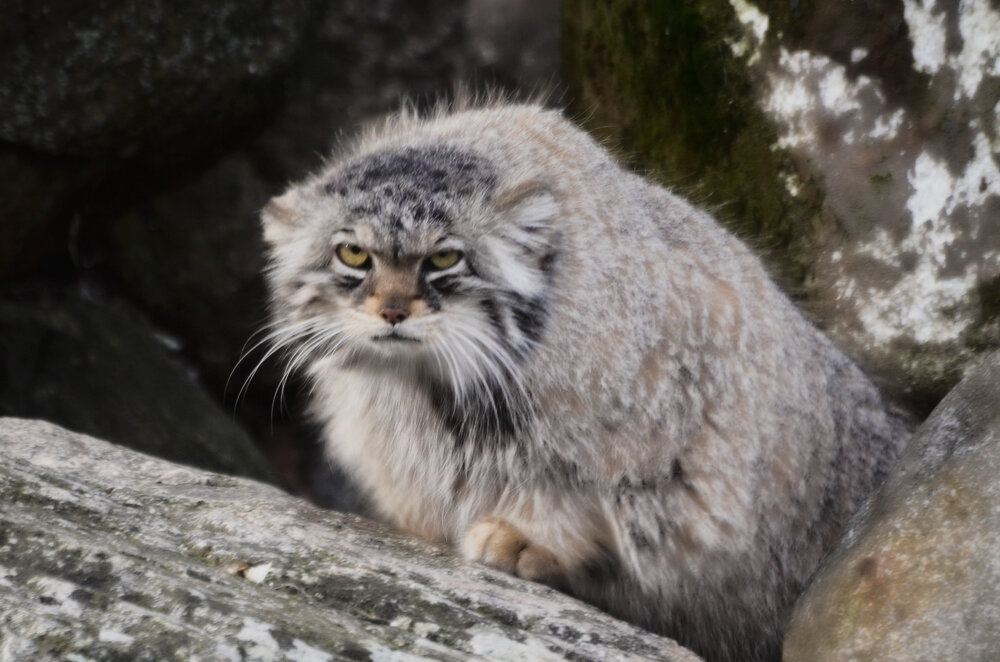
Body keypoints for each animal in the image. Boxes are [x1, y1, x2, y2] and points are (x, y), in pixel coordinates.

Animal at [256, 104, 908, 662]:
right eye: (352, 254)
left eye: (444, 259)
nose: (392, 311)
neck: (427, 386)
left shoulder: (667, 435)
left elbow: (580, 495)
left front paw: (526, 538)